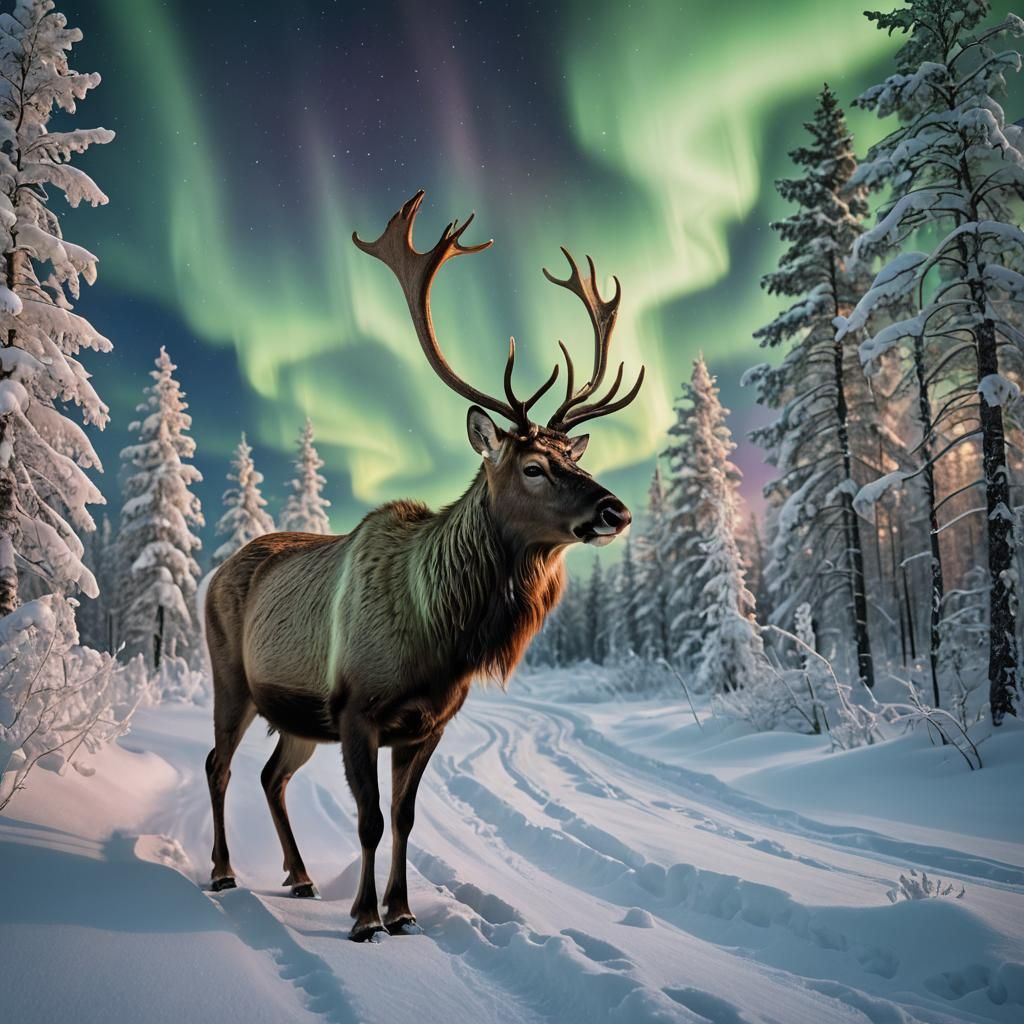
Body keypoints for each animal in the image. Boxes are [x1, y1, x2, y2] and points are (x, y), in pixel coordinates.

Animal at [203, 191, 644, 941]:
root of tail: (216, 569)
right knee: (219, 765)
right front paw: (363, 919)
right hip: (231, 678)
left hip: (296, 717)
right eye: (533, 465)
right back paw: (225, 871)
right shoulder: (355, 709)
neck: (443, 635)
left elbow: (407, 819)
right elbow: (371, 820)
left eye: (574, 457)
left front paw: (403, 912)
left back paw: (299, 875)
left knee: (271, 775)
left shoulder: (429, 722)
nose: (616, 510)